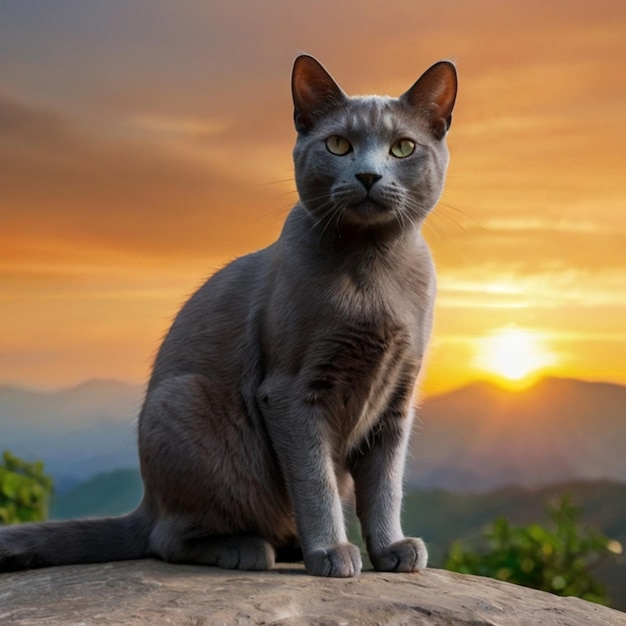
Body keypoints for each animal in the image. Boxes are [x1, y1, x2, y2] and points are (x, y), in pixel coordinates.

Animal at [1, 53, 458, 576]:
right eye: (339, 145)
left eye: (403, 148)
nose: (368, 176)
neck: (373, 271)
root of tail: (146, 503)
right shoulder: (291, 391)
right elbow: (315, 479)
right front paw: (330, 551)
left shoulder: (397, 397)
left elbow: (384, 484)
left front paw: (389, 549)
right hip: (184, 405)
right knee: (168, 538)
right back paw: (249, 549)